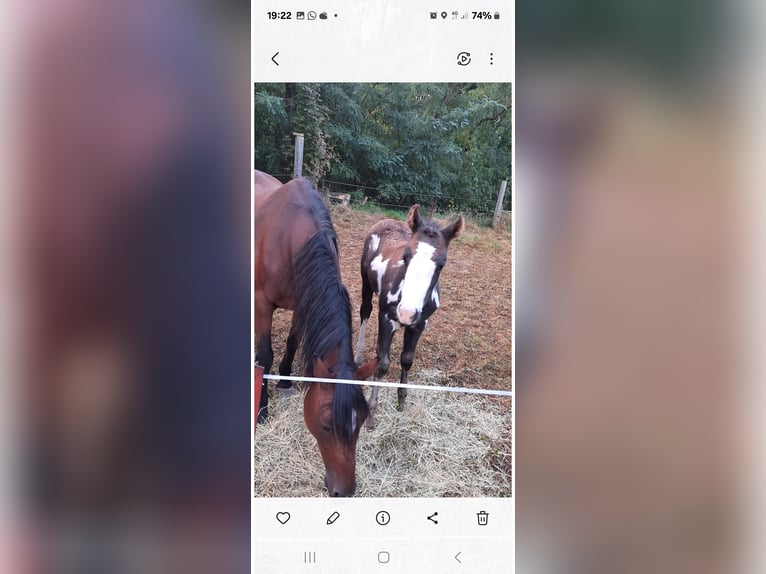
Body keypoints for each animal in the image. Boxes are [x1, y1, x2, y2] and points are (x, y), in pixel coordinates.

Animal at [254, 170, 376, 496]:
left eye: (360, 422)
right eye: (325, 425)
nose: (343, 491)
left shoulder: (304, 301)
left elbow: (292, 343)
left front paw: (284, 382)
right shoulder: (262, 305)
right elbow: (265, 355)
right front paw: (261, 411)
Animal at [355, 204, 464, 428]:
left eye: (442, 264)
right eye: (405, 257)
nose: (406, 313)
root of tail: (386, 220)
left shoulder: (419, 324)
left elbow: (406, 360)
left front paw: (402, 402)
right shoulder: (387, 318)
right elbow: (384, 365)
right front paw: (371, 414)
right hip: (366, 284)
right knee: (365, 312)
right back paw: (359, 356)